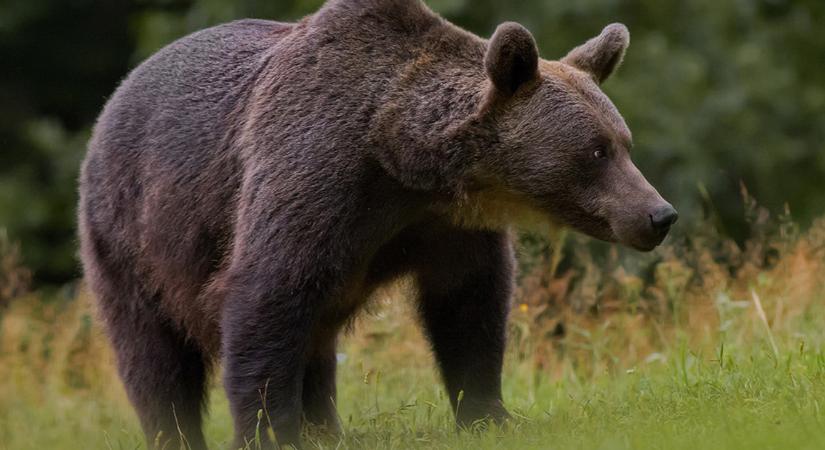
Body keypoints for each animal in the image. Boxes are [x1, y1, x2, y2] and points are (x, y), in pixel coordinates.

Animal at [77, 1, 676, 448]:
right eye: (596, 151)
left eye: (623, 143)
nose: (658, 214)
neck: (404, 162)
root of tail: (113, 98)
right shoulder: (314, 175)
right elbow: (267, 294)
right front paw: (269, 432)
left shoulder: (446, 228)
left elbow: (470, 308)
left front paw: (491, 415)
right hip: (130, 232)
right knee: (153, 353)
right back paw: (176, 430)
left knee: (317, 344)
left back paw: (326, 430)